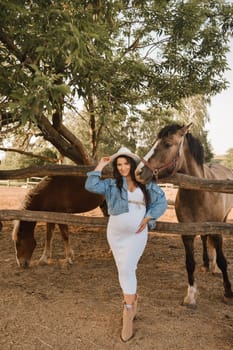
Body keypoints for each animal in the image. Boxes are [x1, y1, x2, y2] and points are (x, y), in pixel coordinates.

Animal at [135, 123, 233, 306]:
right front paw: (191, 295)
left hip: (222, 222)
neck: (200, 192)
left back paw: (214, 267)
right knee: (204, 240)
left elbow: (223, 261)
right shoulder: (186, 233)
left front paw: (228, 292)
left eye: (167, 144)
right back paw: (206, 264)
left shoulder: (216, 229)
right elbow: (189, 263)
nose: (138, 172)